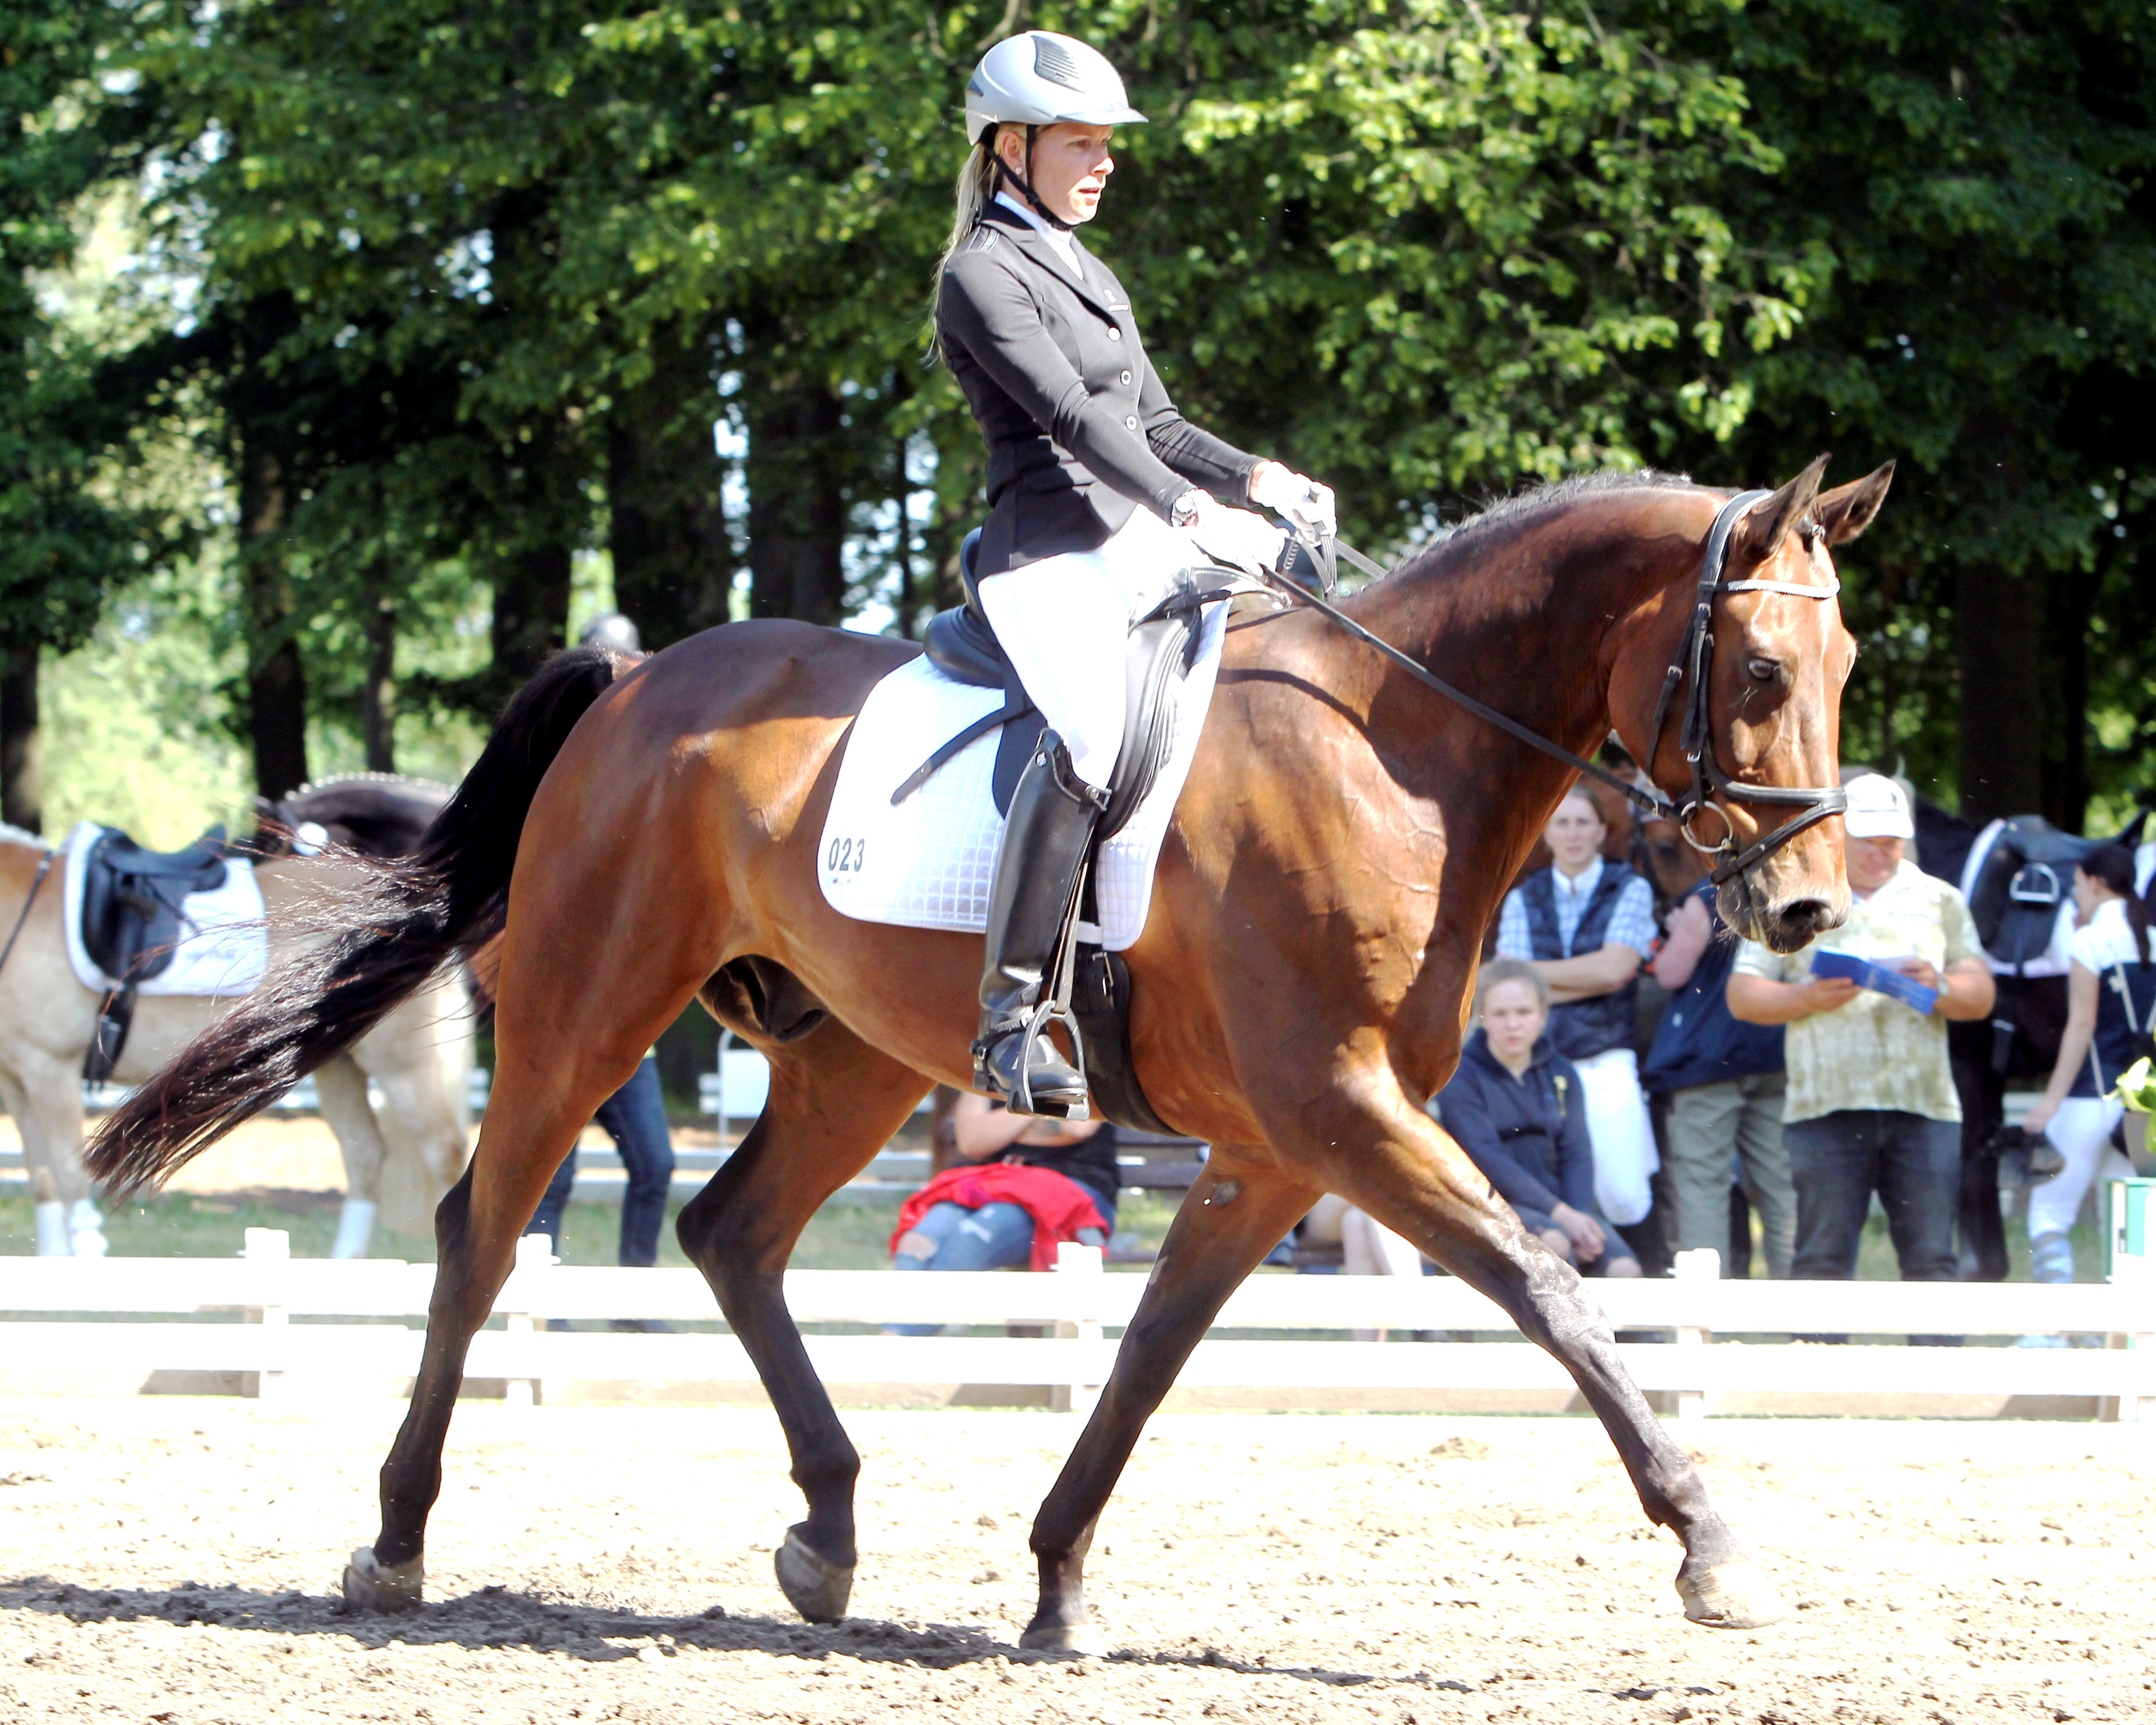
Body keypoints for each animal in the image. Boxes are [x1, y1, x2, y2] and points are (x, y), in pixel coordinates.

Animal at [0, 823, 474, 1251]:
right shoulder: (18, 1081)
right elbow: (43, 1181)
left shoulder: (51, 1069)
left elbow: (68, 1177)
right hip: (339, 1066)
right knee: (366, 1158)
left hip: (403, 1067)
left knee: (445, 1155)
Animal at [97, 455, 1889, 1647]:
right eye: (1757, 665)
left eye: (1847, 664)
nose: (1803, 905)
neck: (1393, 754)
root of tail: (637, 675)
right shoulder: (1341, 1111)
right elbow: (1545, 1280)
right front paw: (1711, 1544)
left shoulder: (1270, 1147)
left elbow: (1152, 1348)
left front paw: (1056, 1578)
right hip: (585, 1008)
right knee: (480, 1232)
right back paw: (396, 1544)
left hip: (854, 1056)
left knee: (729, 1229)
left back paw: (825, 1533)